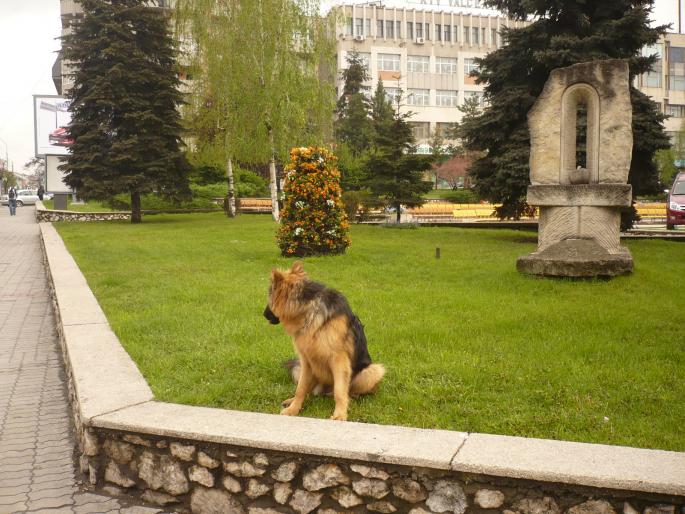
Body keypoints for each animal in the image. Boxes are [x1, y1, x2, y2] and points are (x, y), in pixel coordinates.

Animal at [264, 262, 384, 418]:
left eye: (270, 298)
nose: (263, 314)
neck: (309, 310)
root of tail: (325, 390)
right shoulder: (306, 361)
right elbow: (300, 389)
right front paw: (293, 409)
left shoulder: (339, 361)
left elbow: (339, 391)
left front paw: (340, 414)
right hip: (301, 368)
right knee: (308, 390)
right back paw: (291, 400)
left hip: (373, 371)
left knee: (349, 390)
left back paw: (352, 398)